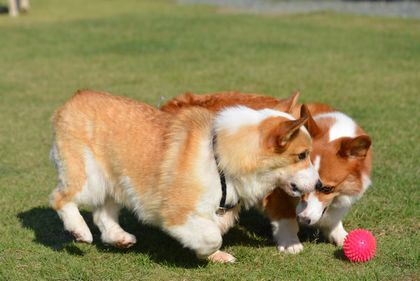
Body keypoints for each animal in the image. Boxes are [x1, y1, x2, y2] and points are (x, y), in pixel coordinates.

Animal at [49, 91, 318, 262]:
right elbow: (211, 236)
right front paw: (208, 253)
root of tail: (75, 98)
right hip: (89, 178)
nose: (319, 184)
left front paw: (214, 257)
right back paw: (80, 232)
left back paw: (120, 238)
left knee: (102, 213)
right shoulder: (178, 212)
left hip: (117, 181)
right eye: (302, 155)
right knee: (60, 198)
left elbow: (214, 230)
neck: (221, 158)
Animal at [162, 91, 374, 253]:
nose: (304, 219)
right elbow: (286, 218)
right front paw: (291, 243)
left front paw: (342, 237)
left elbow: (333, 221)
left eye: (327, 188)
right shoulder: (277, 193)